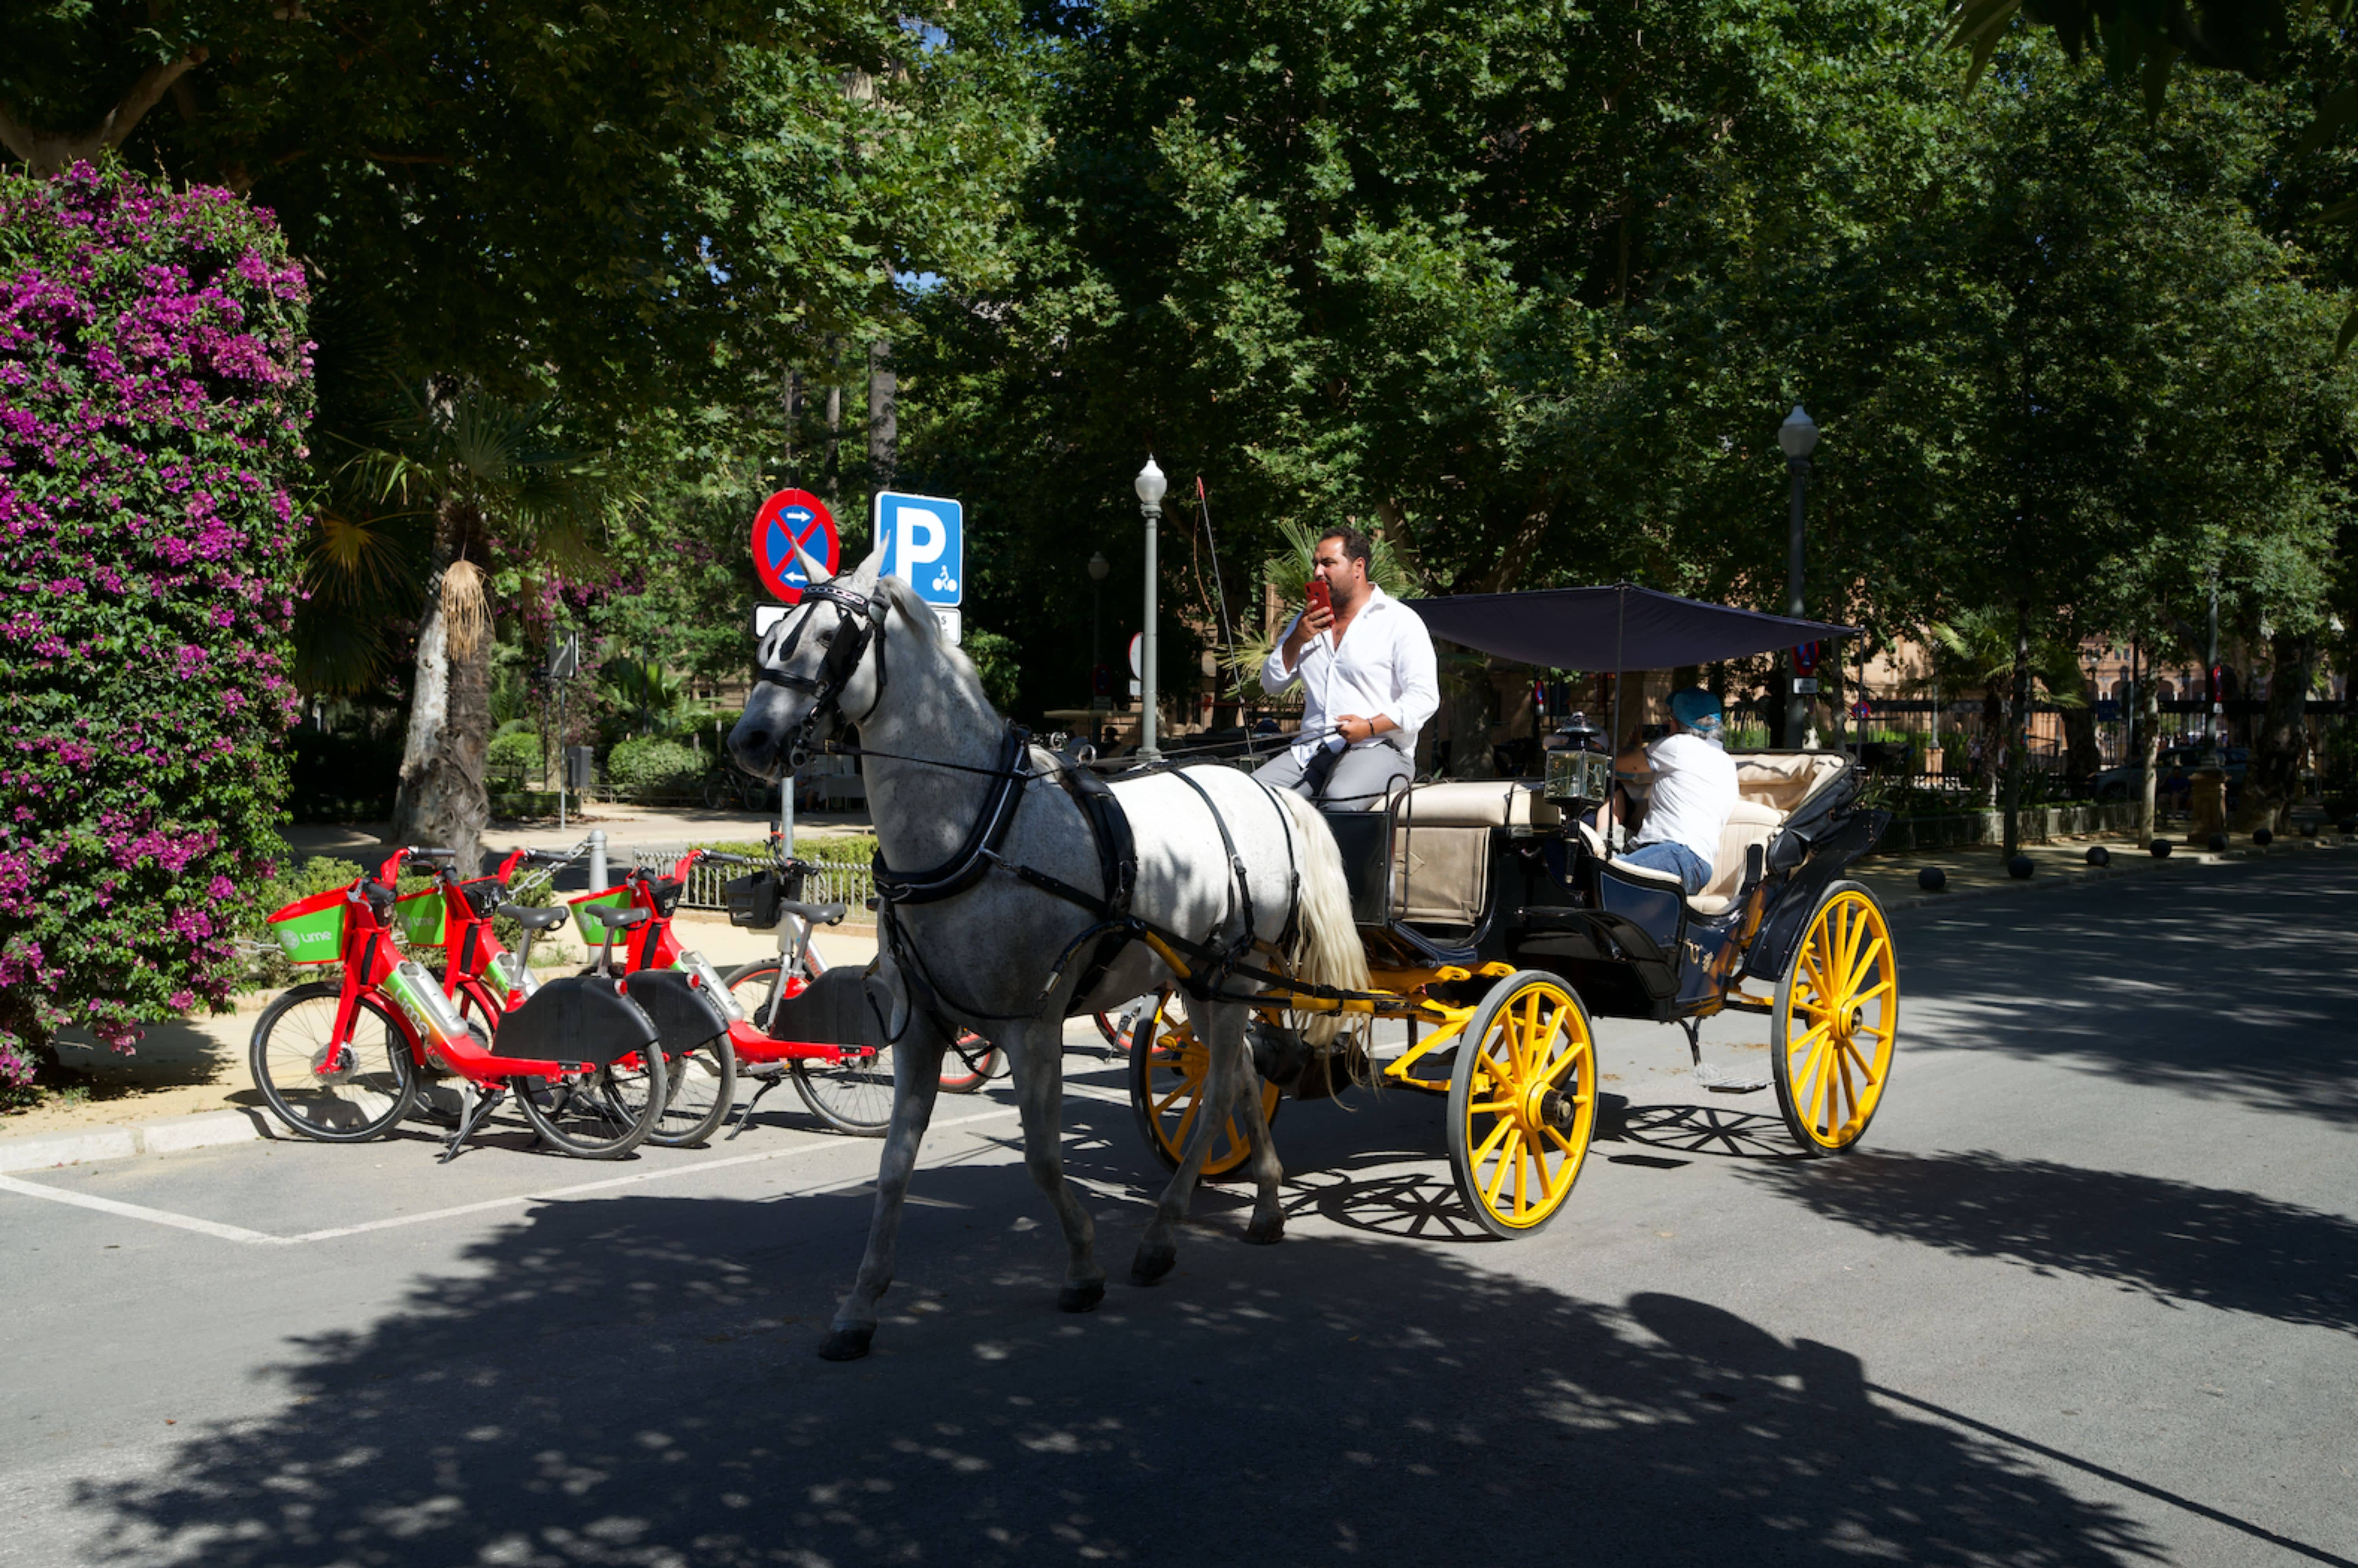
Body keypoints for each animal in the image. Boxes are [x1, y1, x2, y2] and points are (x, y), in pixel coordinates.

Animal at [731, 542, 1368, 1358]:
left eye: (825, 638)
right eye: (773, 634)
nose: (747, 742)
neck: (974, 826)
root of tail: (1266, 790)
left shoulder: (1030, 1029)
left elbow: (1042, 1157)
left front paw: (1084, 1268)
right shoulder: (923, 1030)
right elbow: (894, 1168)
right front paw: (860, 1307)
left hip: (1224, 978)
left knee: (1225, 1084)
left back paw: (1163, 1236)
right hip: (1205, 984)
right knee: (1244, 1076)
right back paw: (1263, 1205)